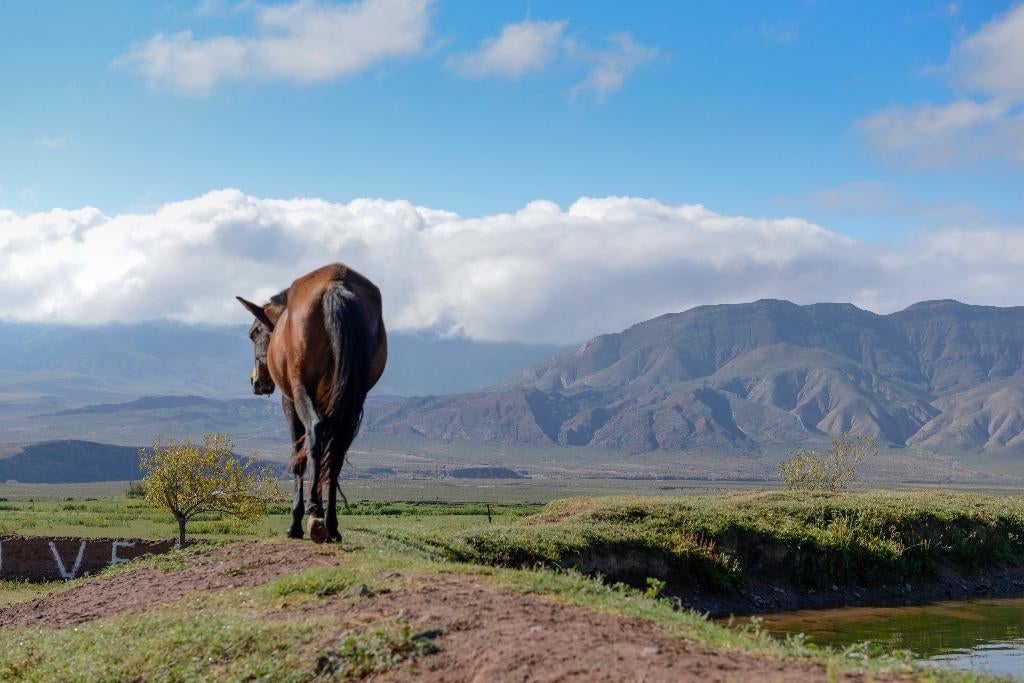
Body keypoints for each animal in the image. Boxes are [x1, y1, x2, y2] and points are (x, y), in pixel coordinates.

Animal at [236, 263, 387, 543]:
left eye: (254, 333)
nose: (255, 381)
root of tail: (336, 286)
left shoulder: (289, 401)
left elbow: (299, 458)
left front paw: (296, 521)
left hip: (301, 391)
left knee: (315, 434)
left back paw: (315, 512)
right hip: (352, 397)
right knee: (336, 451)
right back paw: (331, 525)